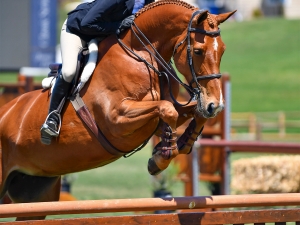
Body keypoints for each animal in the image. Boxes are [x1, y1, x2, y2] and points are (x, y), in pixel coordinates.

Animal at [0, 0, 234, 221]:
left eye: (223, 50)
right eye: (198, 51)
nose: (215, 104)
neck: (140, 53)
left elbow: (189, 114)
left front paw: (180, 144)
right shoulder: (117, 120)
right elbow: (168, 110)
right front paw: (161, 157)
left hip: (36, 189)